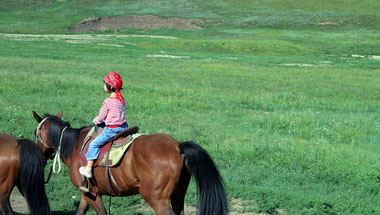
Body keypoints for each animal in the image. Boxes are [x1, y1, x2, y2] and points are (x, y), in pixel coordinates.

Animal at [32, 111, 227, 215]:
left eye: (35, 132)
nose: (40, 157)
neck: (74, 146)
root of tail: (177, 146)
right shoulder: (88, 193)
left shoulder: (93, 194)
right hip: (178, 195)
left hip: (157, 199)